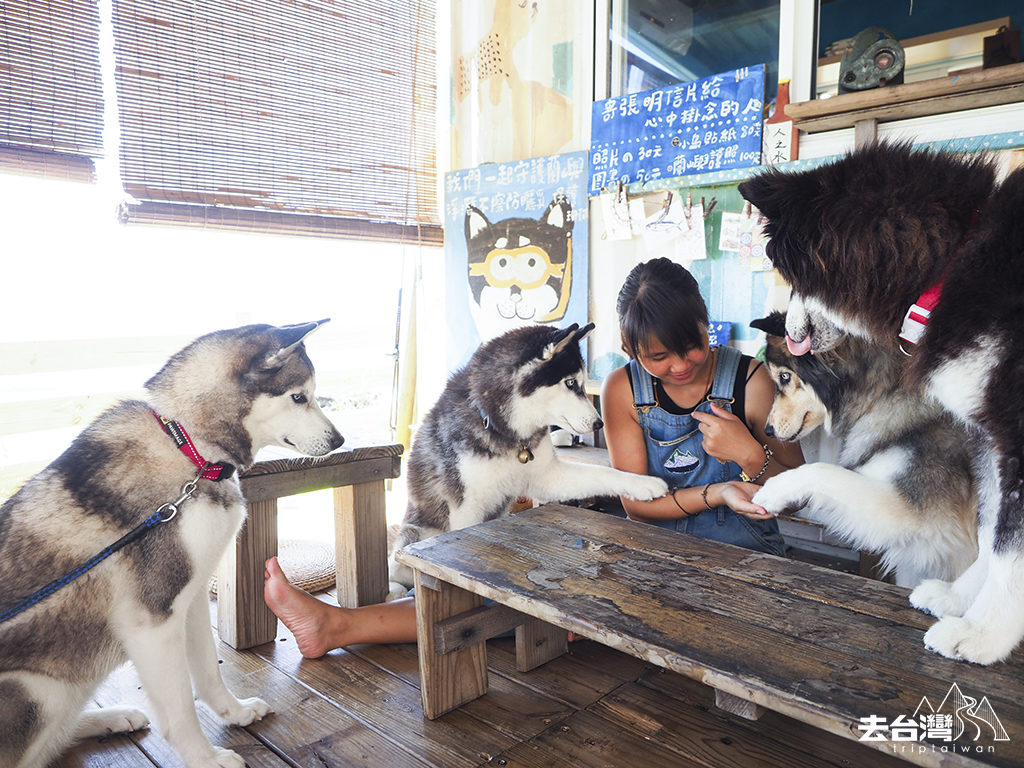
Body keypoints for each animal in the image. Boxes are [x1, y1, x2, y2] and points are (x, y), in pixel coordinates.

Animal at [0, 321, 344, 765]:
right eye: (299, 396)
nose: (339, 440)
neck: (190, 449)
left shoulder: (191, 597)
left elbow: (209, 672)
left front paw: (235, 713)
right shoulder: (152, 621)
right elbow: (180, 708)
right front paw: (206, 759)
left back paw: (112, 718)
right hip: (33, 691)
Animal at [387, 321, 667, 598]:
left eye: (582, 383)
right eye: (570, 383)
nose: (600, 423)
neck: (504, 429)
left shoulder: (545, 476)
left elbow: (602, 473)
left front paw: (644, 484)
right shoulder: (466, 507)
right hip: (412, 534)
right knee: (396, 572)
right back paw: (396, 590)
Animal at [753, 313, 974, 589]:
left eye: (783, 377)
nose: (768, 430)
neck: (886, 392)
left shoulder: (917, 517)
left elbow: (823, 471)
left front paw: (773, 491)